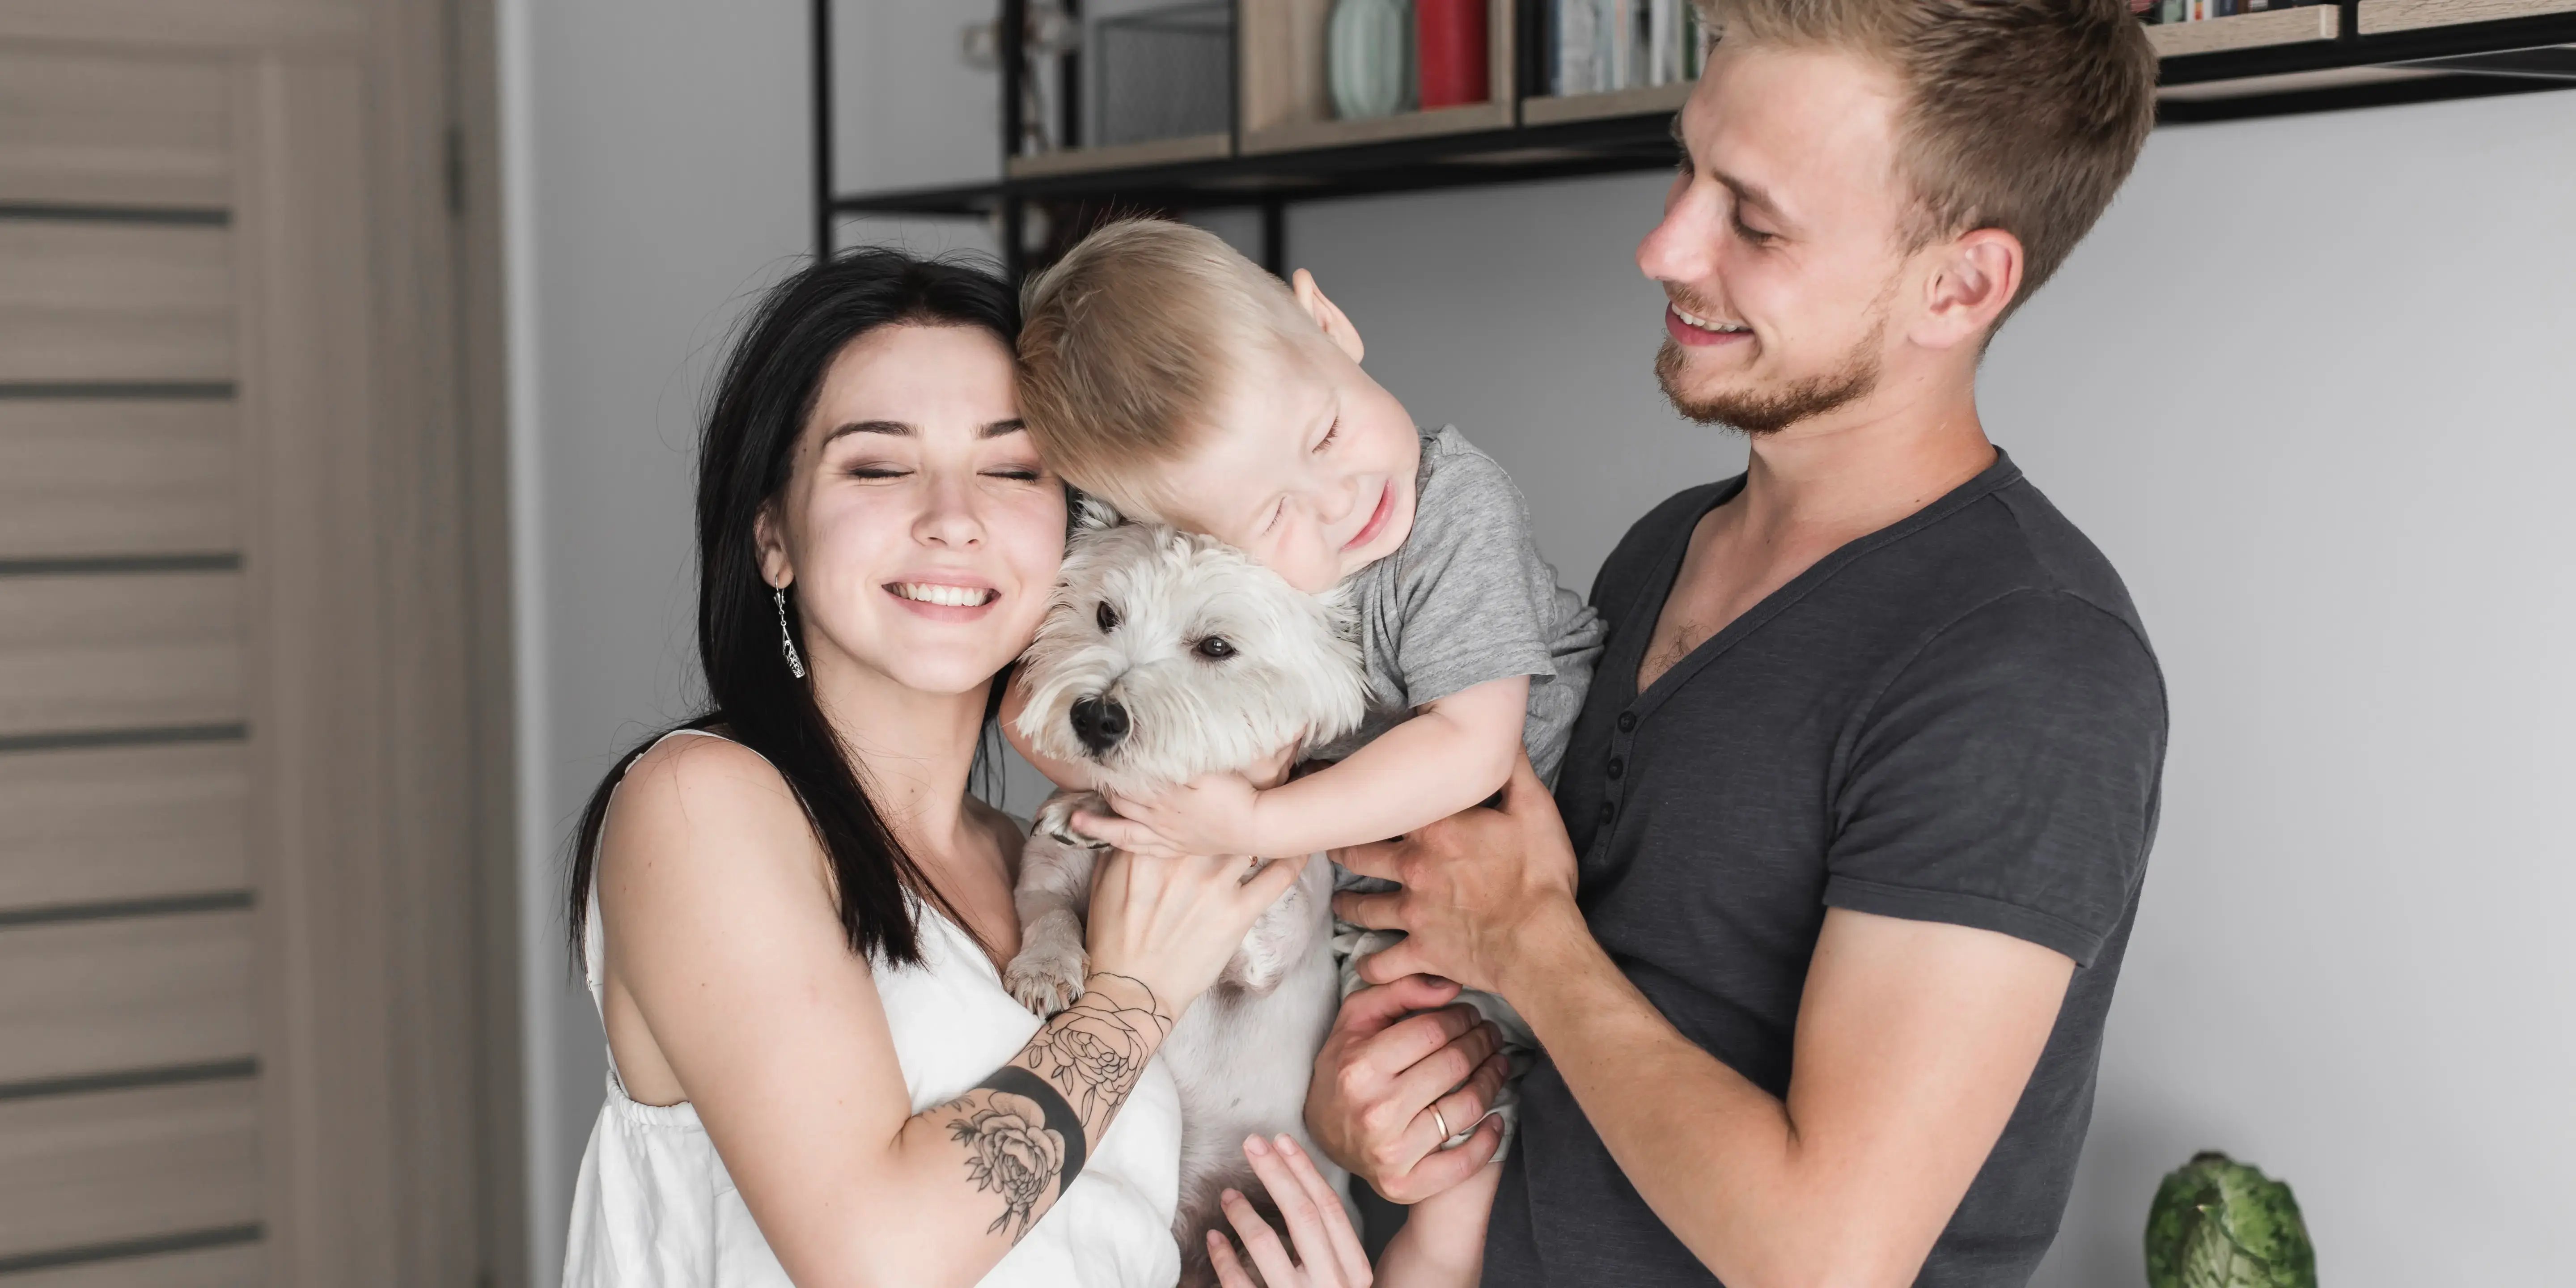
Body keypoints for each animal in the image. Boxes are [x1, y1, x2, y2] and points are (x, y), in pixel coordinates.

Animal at [999, 507, 1370, 1283]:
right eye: (1105, 613)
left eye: (1216, 647)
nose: (1097, 717)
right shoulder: (1041, 877)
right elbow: (1050, 914)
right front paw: (1046, 968)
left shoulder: (1262, 956)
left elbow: (1266, 891)